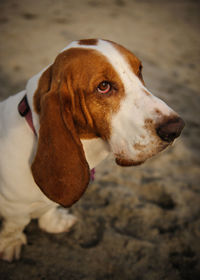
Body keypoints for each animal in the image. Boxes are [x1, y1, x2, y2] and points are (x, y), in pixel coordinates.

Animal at [0, 38, 184, 262]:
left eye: (139, 70)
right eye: (103, 87)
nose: (176, 128)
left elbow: (49, 209)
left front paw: (55, 223)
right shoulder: (12, 206)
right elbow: (15, 225)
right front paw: (11, 244)